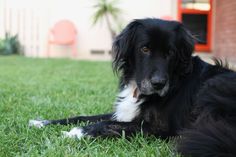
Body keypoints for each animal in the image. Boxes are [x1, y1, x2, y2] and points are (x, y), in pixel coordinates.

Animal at [29, 18, 236, 157]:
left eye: (170, 53)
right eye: (144, 49)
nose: (159, 83)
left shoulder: (159, 128)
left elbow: (107, 124)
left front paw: (76, 133)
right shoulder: (124, 112)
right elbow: (83, 117)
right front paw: (41, 122)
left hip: (212, 86)